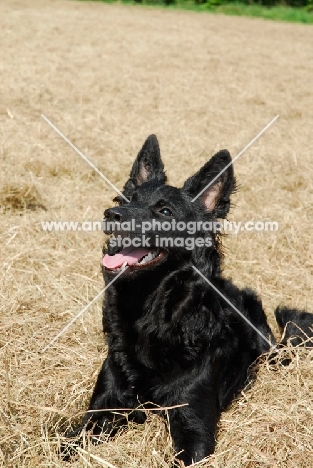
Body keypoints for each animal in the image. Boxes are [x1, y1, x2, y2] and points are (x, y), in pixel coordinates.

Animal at [64, 134, 312, 464]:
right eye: (122, 202)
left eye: (165, 212)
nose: (111, 215)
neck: (151, 314)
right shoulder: (101, 410)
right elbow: (69, 444)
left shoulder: (193, 427)